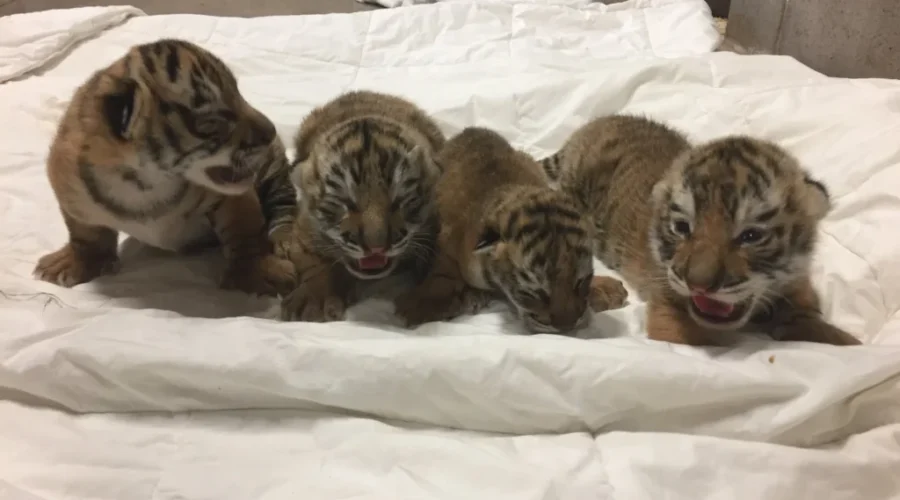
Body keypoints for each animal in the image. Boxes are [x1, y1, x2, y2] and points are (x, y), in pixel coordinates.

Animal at [31, 38, 296, 297]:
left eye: (239, 94)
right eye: (213, 119)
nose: (272, 131)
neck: (145, 183)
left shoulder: (233, 199)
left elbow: (245, 233)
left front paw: (258, 271)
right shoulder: (69, 190)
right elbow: (86, 236)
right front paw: (77, 262)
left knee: (284, 205)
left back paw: (284, 241)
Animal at [279, 90, 445, 322]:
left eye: (398, 201)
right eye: (346, 203)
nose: (377, 247)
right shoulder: (304, 229)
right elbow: (314, 260)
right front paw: (314, 300)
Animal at [394, 126, 629, 334]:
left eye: (581, 282)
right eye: (535, 292)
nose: (567, 327)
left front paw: (604, 289)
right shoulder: (447, 242)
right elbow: (442, 274)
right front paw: (418, 304)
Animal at [541, 114, 861, 346]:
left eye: (751, 236)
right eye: (682, 228)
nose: (697, 285)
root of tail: (597, 123)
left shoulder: (798, 290)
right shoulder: (669, 317)